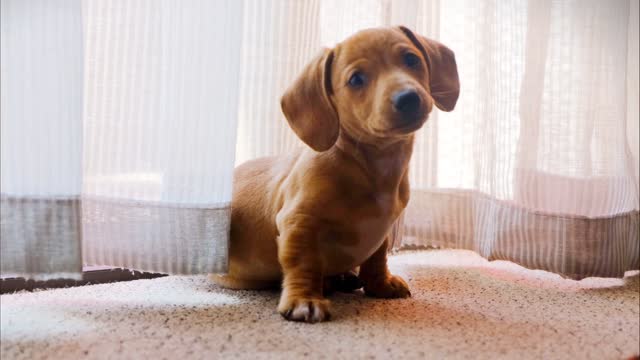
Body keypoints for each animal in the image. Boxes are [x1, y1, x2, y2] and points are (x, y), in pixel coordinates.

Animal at [212, 26, 458, 324]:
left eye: (411, 59)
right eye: (356, 79)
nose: (408, 98)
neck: (372, 166)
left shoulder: (382, 230)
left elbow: (377, 258)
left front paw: (380, 284)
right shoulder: (298, 221)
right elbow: (303, 262)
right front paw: (304, 299)